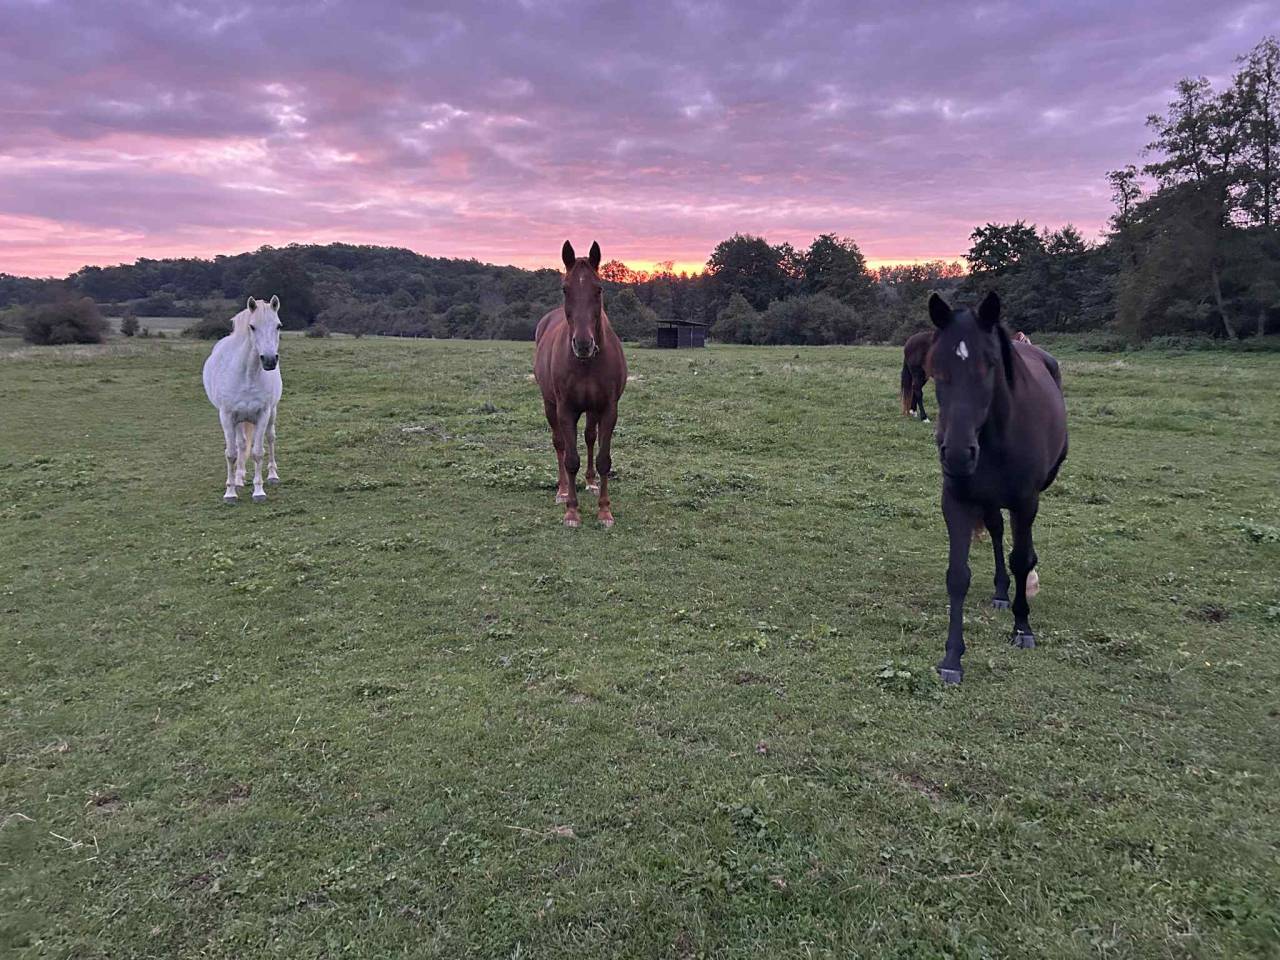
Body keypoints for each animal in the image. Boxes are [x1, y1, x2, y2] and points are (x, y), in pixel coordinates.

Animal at [202, 296, 283, 504]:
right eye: (252, 326)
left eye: (278, 326)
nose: (269, 360)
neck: (247, 376)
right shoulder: (227, 416)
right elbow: (231, 454)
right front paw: (230, 492)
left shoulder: (263, 414)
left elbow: (258, 452)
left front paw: (259, 491)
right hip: (238, 421)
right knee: (241, 444)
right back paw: (238, 479)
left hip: (272, 413)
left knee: (270, 438)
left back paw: (272, 475)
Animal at [533, 241, 627, 528]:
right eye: (566, 289)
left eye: (599, 288)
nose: (583, 344)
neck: (587, 363)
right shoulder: (566, 410)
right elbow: (570, 458)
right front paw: (572, 511)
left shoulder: (608, 409)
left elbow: (603, 458)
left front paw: (605, 511)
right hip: (550, 405)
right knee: (559, 444)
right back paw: (563, 490)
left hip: (592, 410)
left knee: (589, 438)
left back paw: (591, 482)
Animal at [926, 292, 1067, 684]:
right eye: (936, 366)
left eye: (989, 364)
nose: (958, 454)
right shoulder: (956, 501)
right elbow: (958, 576)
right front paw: (952, 658)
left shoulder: (1026, 501)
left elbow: (1021, 559)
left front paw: (1023, 628)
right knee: (996, 530)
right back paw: (1002, 591)